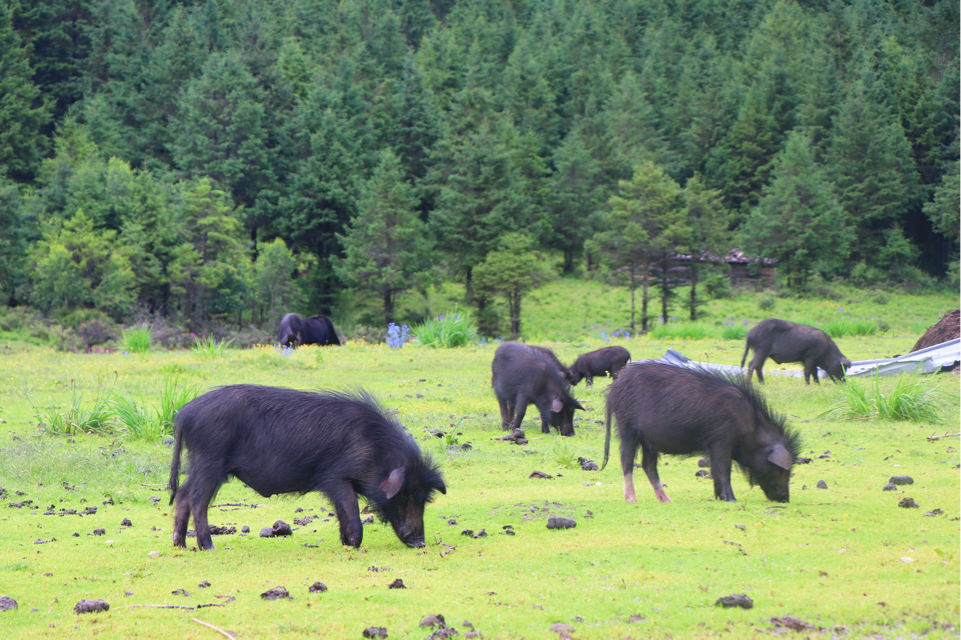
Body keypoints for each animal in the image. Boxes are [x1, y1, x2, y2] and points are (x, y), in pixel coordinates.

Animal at [170, 384, 446, 552]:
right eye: (405, 495)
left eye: (423, 498)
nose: (420, 543)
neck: (374, 450)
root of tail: (184, 414)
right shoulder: (335, 477)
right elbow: (350, 509)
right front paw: (355, 544)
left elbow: (342, 512)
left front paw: (346, 543)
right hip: (211, 459)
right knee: (197, 500)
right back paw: (208, 546)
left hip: (200, 462)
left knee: (183, 495)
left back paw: (180, 545)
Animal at [600, 362, 804, 502]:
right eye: (781, 469)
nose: (785, 499)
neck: (751, 427)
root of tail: (615, 388)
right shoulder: (722, 440)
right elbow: (723, 470)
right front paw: (731, 500)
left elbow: (716, 470)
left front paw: (720, 498)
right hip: (627, 428)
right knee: (626, 460)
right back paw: (632, 499)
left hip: (648, 440)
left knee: (648, 465)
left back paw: (667, 500)